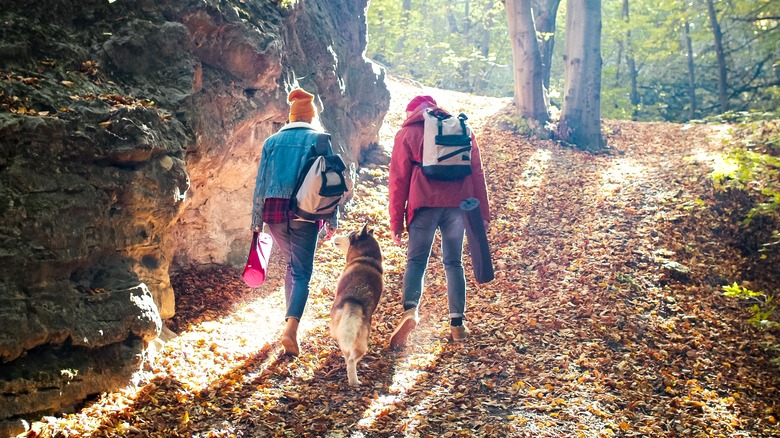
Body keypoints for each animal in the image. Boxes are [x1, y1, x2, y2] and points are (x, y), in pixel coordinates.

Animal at [330, 224, 384, 384]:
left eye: (349, 235)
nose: (334, 235)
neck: (366, 257)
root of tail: (354, 301)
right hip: (359, 343)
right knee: (351, 358)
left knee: (350, 358)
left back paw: (352, 380)